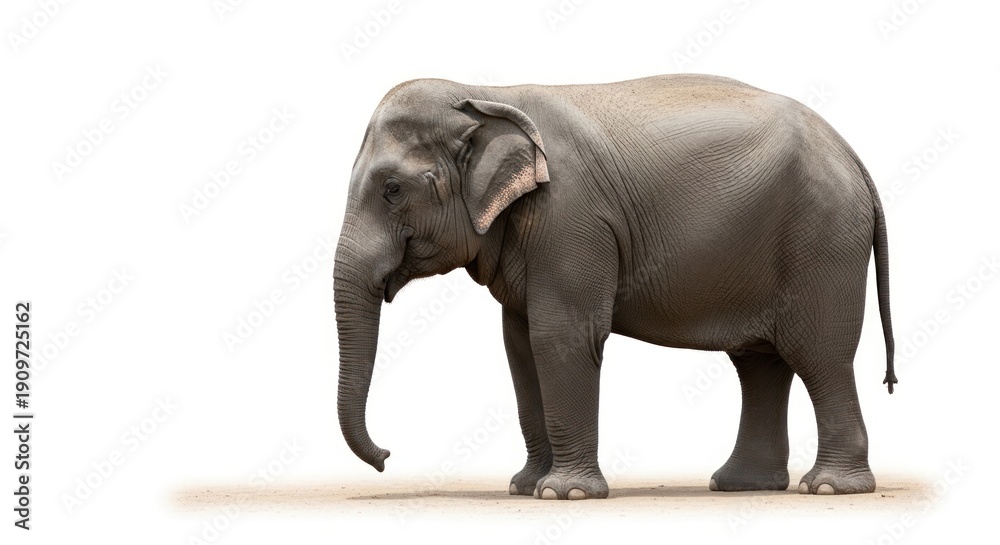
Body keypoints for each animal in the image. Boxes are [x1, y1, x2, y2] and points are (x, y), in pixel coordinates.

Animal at [333, 74, 896, 500]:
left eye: (392, 189)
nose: (387, 456)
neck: (486, 92)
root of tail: (855, 157)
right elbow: (520, 346)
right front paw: (525, 488)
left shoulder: (571, 219)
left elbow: (561, 337)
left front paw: (564, 494)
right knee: (759, 363)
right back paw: (740, 485)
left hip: (822, 241)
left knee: (818, 355)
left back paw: (828, 488)